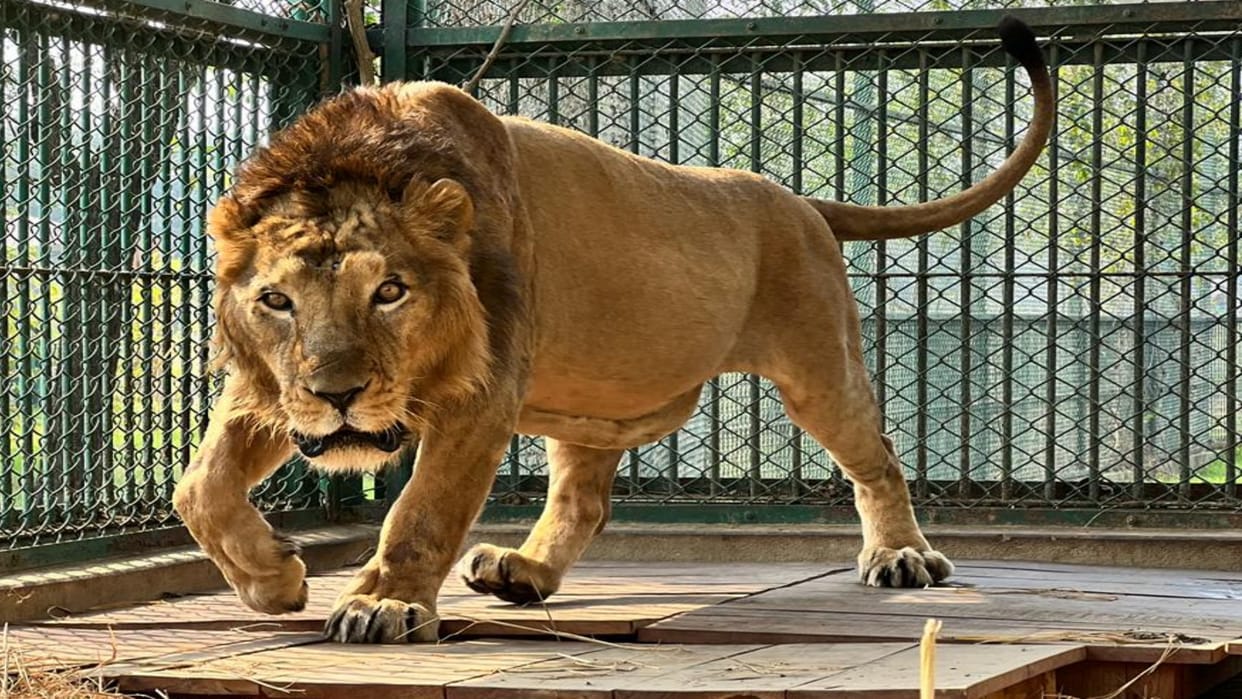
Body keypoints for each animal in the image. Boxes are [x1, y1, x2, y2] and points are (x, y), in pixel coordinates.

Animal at [171, 16, 1052, 643]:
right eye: (276, 301)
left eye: (389, 291)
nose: (339, 394)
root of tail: (798, 198)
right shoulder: (271, 387)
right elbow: (199, 487)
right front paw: (274, 580)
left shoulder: (482, 393)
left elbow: (421, 510)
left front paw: (381, 604)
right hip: (595, 401)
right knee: (584, 499)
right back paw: (521, 569)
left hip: (818, 371)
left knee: (879, 458)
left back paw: (901, 555)